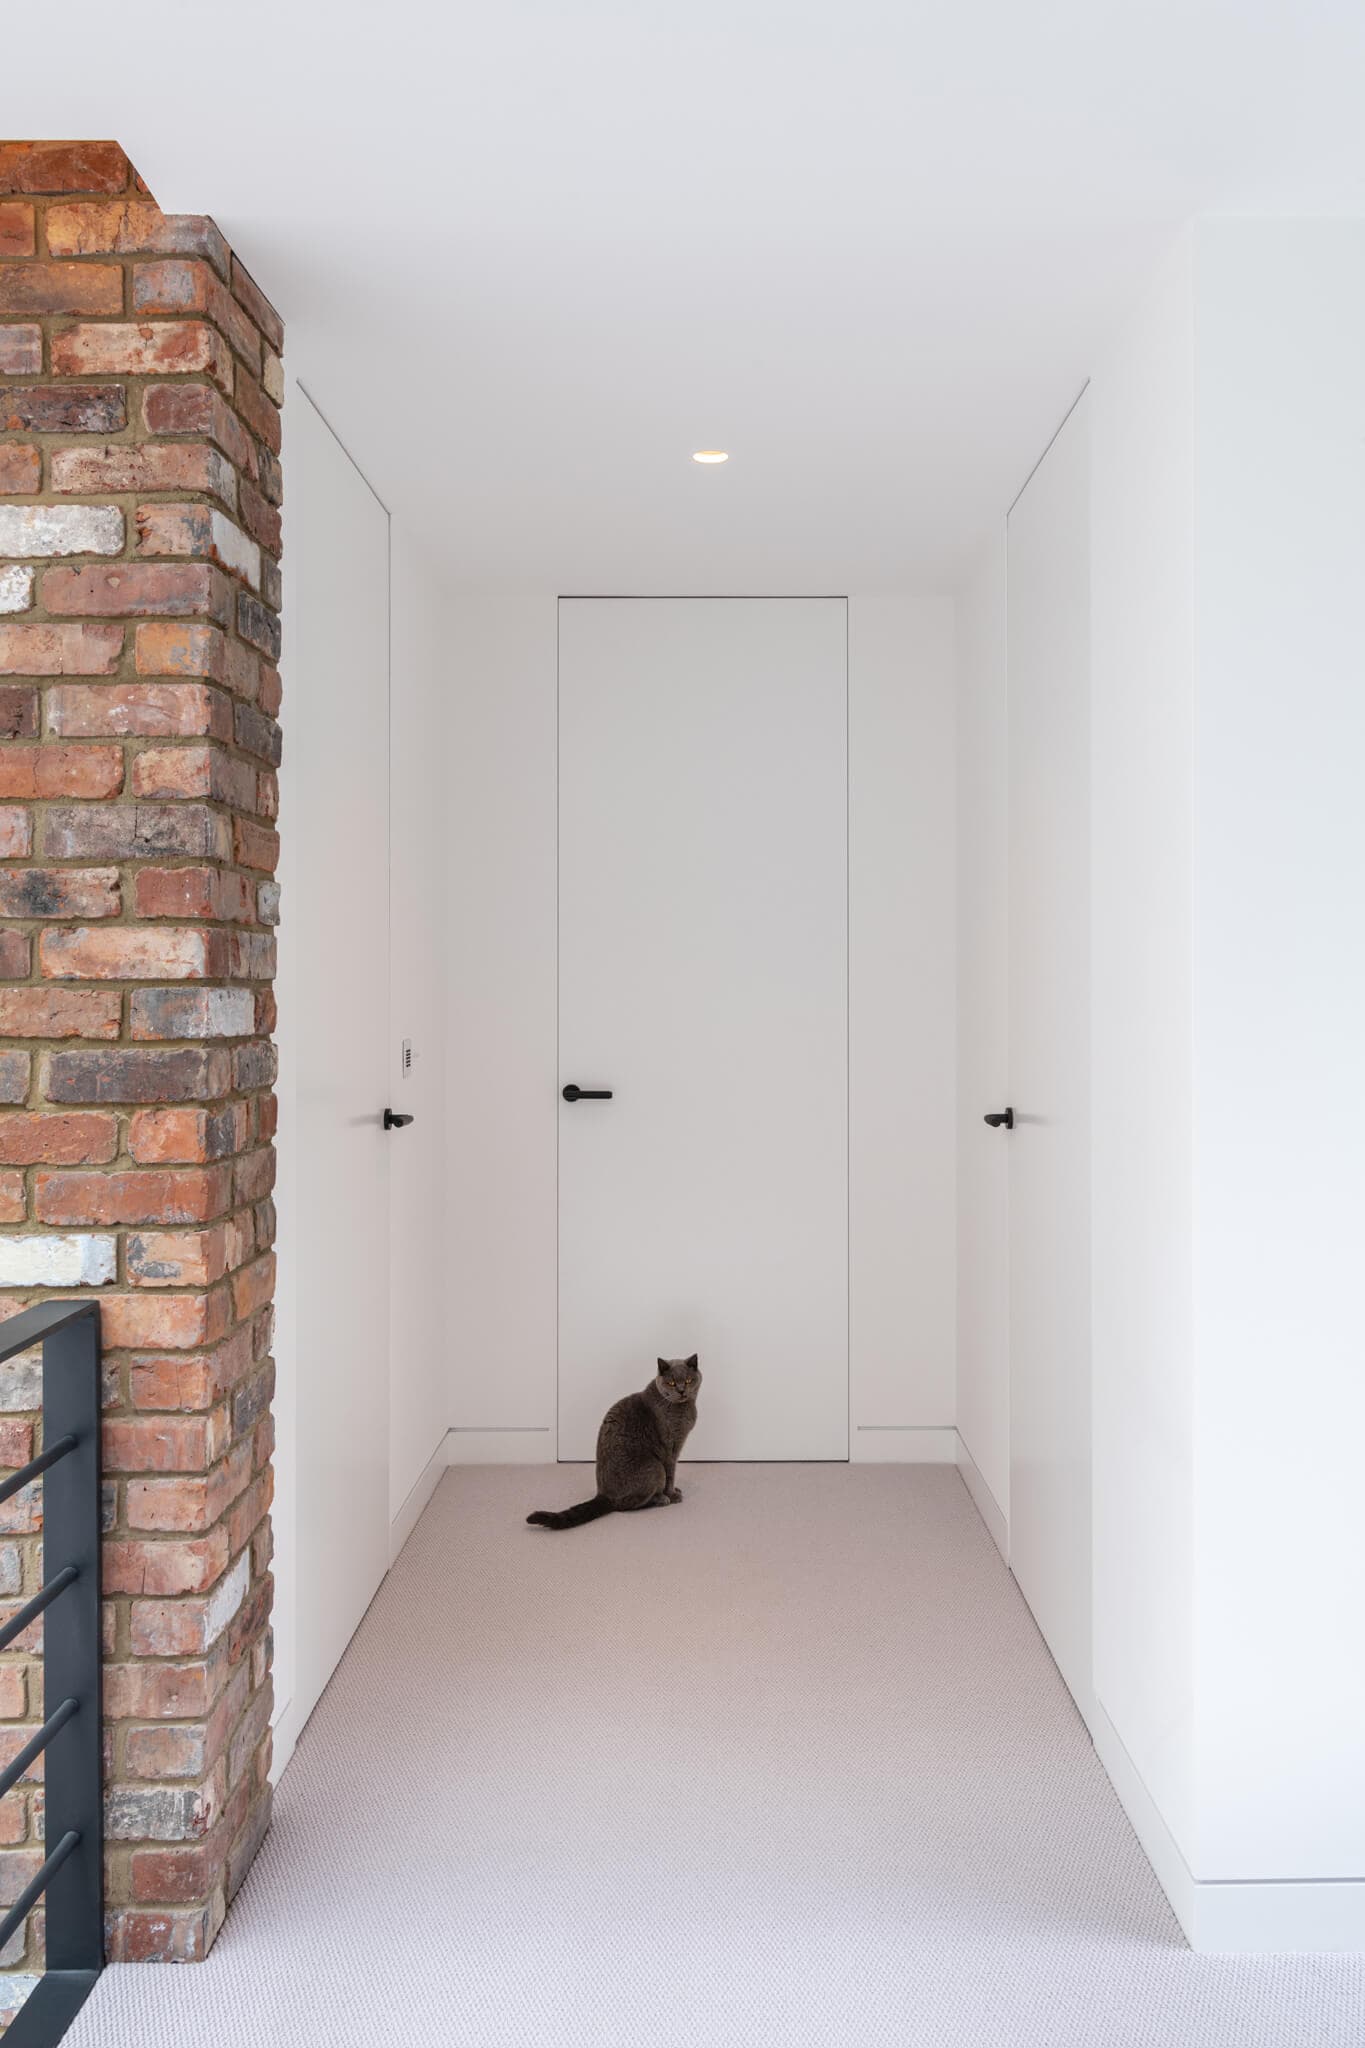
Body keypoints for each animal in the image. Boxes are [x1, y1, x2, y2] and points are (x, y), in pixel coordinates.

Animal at [527, 1351, 703, 1531]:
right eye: (671, 1383)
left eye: (688, 1380)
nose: (681, 1391)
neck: (683, 1408)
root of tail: (603, 1495)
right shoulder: (670, 1448)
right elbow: (671, 1474)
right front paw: (672, 1494)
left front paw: (674, 1491)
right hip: (655, 1467)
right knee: (626, 1506)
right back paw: (661, 1499)